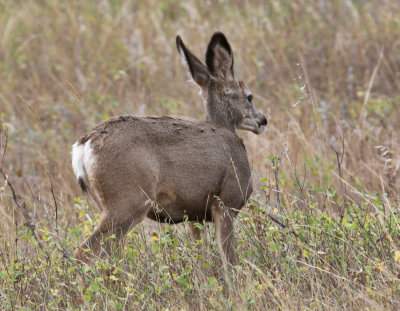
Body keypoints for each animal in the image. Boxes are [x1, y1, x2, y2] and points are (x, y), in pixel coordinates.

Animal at [72, 32, 266, 268]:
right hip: (128, 200)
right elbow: (229, 260)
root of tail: (83, 146)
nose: (262, 120)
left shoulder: (194, 216)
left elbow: (201, 258)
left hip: (106, 203)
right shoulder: (227, 201)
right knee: (86, 252)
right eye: (249, 96)